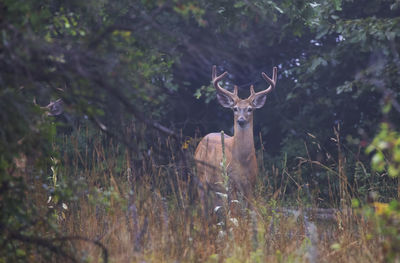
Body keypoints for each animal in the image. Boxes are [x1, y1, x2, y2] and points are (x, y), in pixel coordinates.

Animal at [195, 65, 276, 206]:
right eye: (235, 108)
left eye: (250, 109)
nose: (241, 120)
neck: (242, 161)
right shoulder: (230, 182)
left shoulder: (251, 183)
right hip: (202, 178)